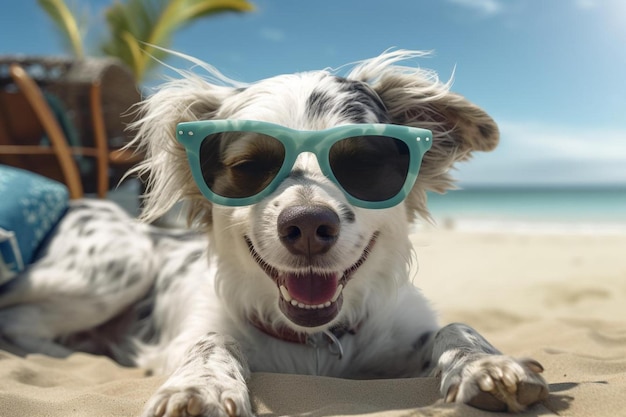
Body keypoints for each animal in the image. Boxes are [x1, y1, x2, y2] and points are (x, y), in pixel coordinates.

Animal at [0, 50, 544, 414]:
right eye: (250, 167)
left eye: (363, 165)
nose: (307, 225)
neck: (317, 344)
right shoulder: (195, 330)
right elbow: (211, 344)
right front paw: (199, 387)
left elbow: (456, 328)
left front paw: (484, 365)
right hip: (121, 264)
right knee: (18, 319)